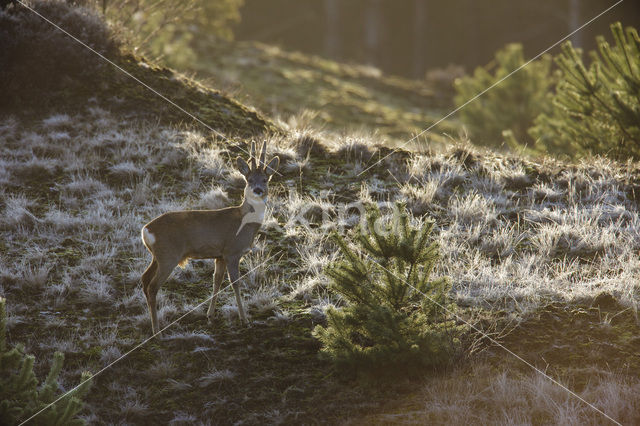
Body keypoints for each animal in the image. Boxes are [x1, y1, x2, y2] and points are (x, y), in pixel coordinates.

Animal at [140, 141, 280, 334]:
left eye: (265, 179)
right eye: (249, 179)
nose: (258, 190)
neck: (245, 222)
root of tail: (146, 230)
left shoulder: (219, 255)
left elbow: (216, 281)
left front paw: (210, 316)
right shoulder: (232, 252)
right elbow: (235, 283)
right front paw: (244, 320)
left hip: (158, 257)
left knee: (144, 279)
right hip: (168, 256)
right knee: (153, 286)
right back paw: (156, 331)